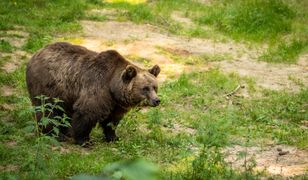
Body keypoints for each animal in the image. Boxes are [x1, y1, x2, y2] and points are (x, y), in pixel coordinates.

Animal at [25, 41, 161, 145]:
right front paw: (84, 140)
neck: (112, 86)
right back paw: (55, 134)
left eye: (155, 87)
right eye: (145, 88)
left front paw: (114, 137)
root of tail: (36, 53)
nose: (157, 100)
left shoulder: (116, 104)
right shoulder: (97, 86)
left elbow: (112, 121)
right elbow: (87, 112)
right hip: (48, 85)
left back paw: (65, 132)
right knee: (47, 110)